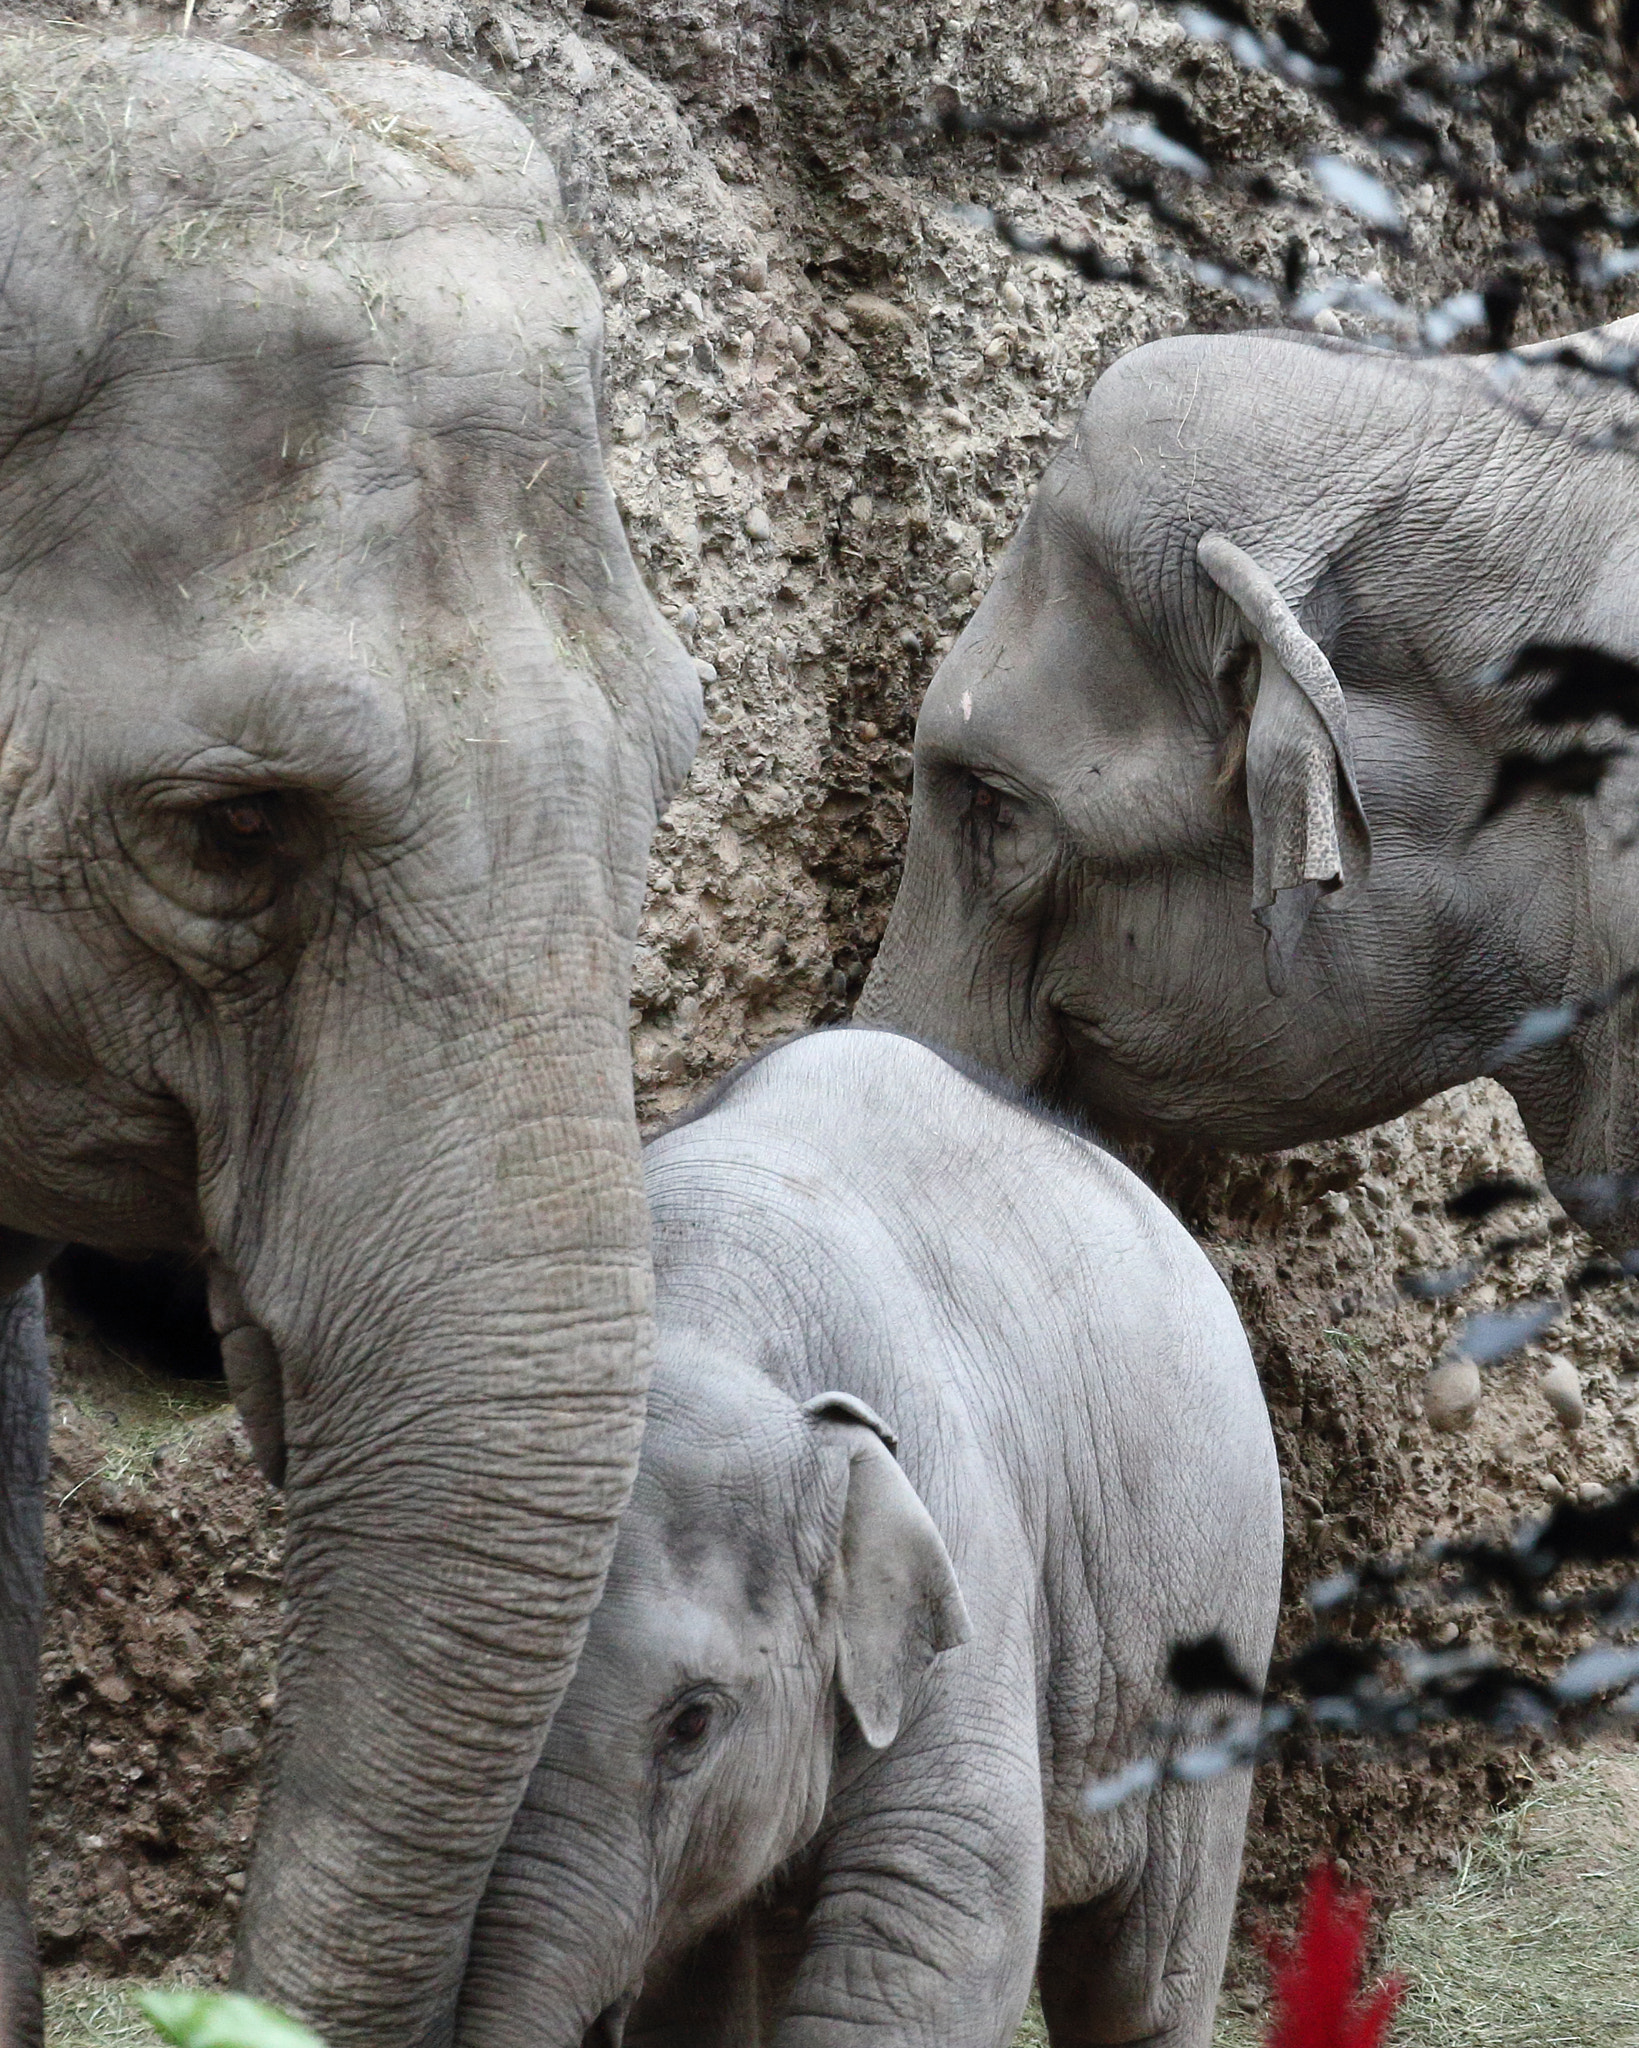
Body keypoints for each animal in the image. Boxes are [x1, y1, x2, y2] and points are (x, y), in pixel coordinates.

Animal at [461, 1027, 1283, 2048]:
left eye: (692, 1722)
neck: (704, 1306)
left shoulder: (960, 1533)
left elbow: (941, 1904)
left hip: (1218, 1603)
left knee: (1141, 1971)